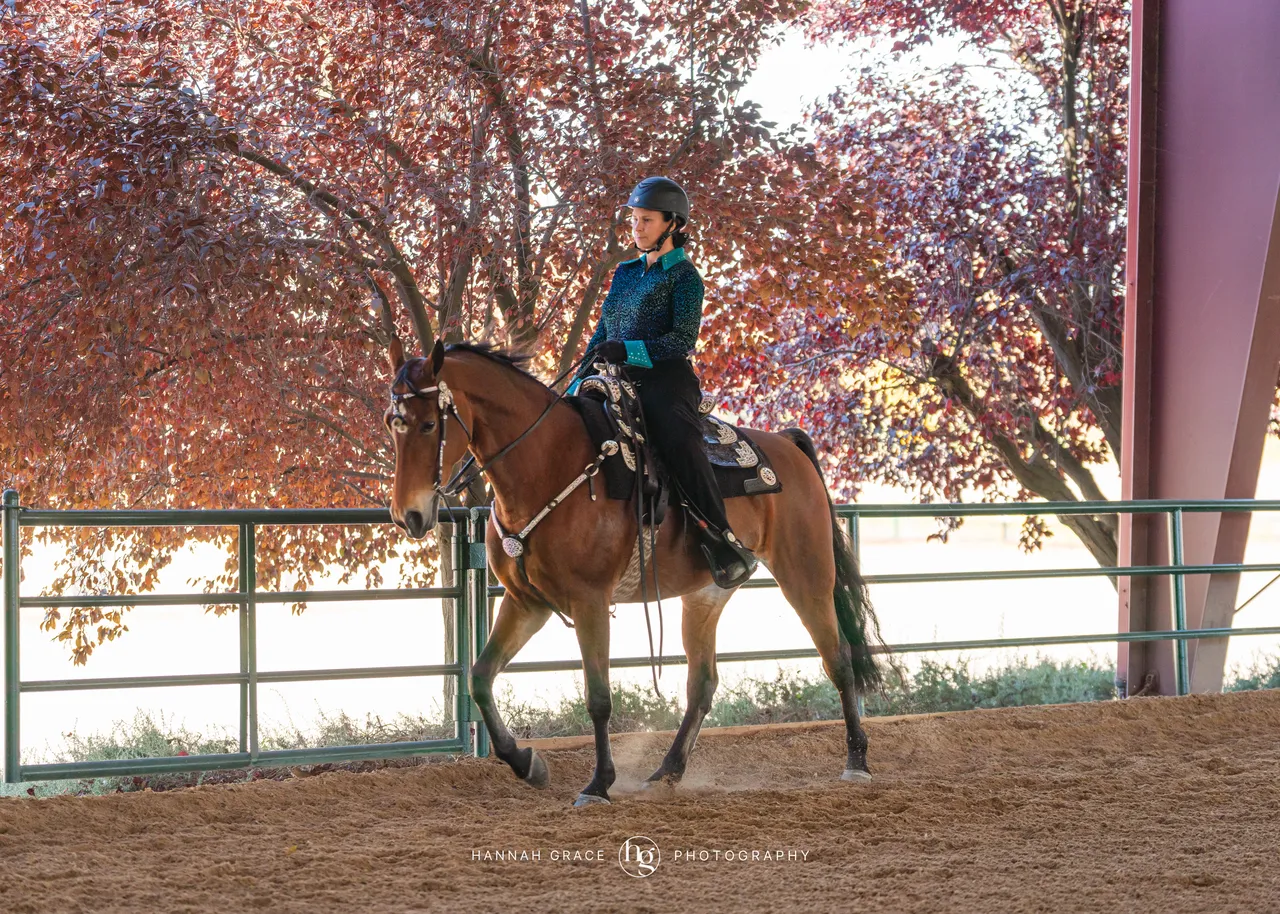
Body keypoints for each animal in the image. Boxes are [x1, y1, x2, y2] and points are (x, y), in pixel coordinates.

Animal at [384, 338, 887, 807]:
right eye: (394, 424)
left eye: (429, 424)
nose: (408, 516)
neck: (547, 463)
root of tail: (787, 445)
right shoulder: (526, 602)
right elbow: (480, 677)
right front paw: (527, 763)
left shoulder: (589, 601)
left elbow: (598, 697)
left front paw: (598, 784)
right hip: (705, 596)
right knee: (702, 684)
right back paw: (666, 771)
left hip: (806, 576)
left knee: (839, 660)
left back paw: (857, 761)